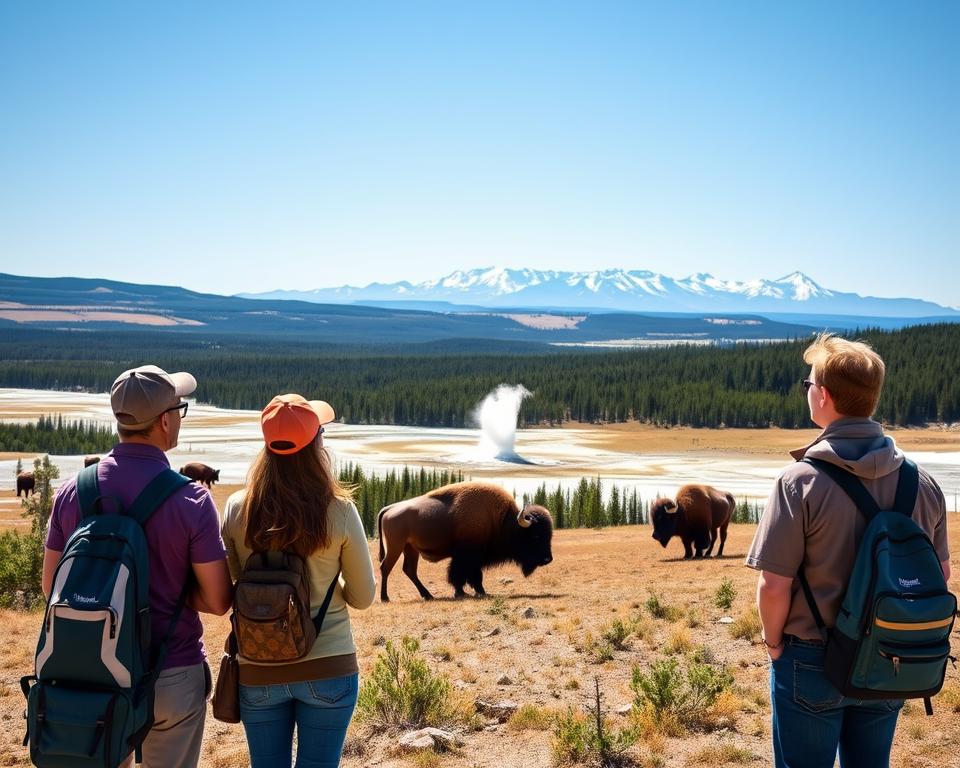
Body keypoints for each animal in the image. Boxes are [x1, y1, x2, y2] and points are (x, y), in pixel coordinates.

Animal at [376, 484, 556, 604]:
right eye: (535, 536)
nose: (548, 559)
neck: (502, 521)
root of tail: (390, 508)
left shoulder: (471, 558)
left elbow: (466, 575)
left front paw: (467, 592)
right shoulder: (467, 556)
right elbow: (465, 574)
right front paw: (472, 592)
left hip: (410, 549)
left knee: (409, 570)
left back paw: (428, 595)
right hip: (396, 546)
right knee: (386, 567)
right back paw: (385, 598)